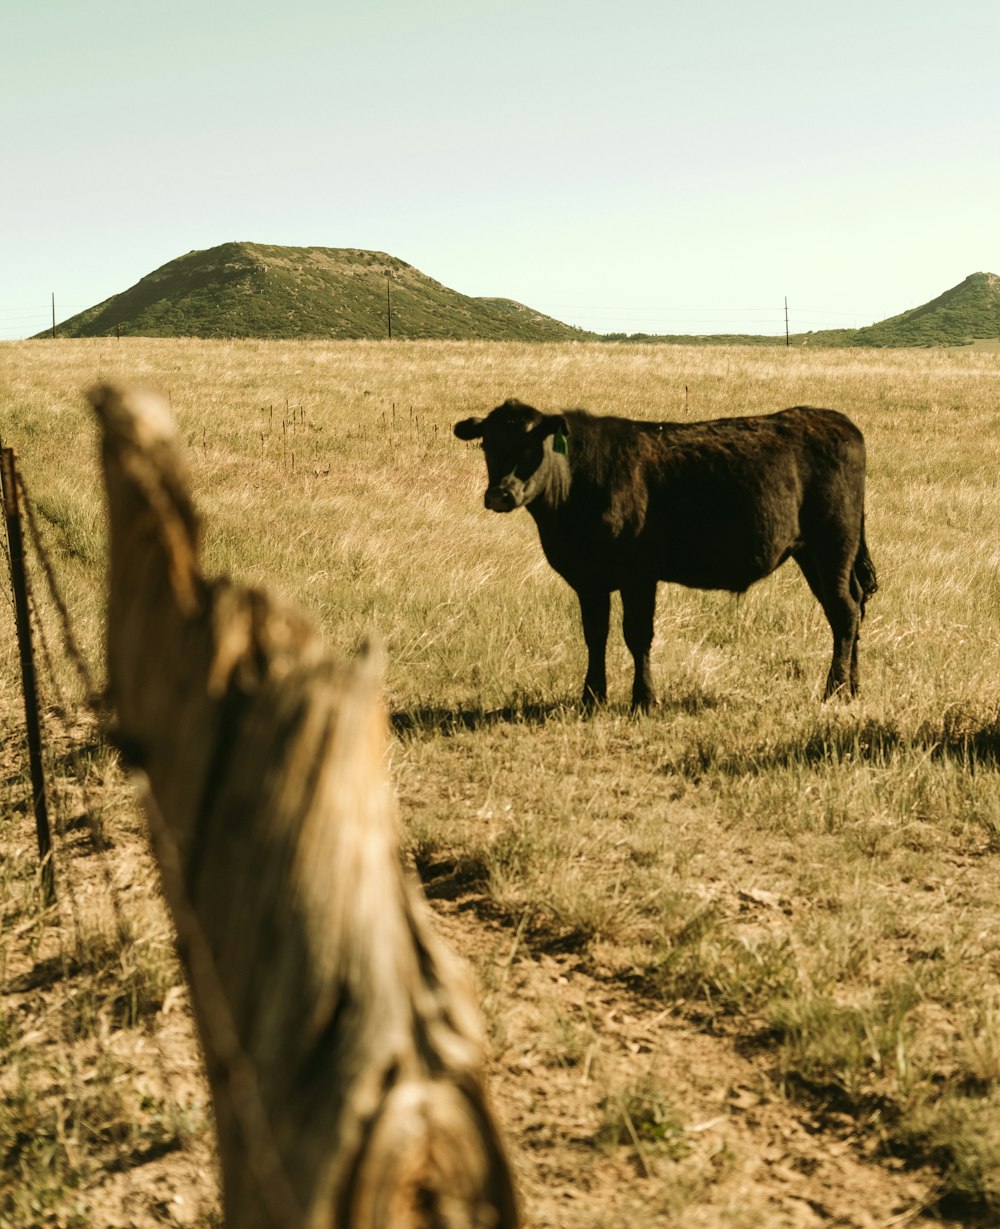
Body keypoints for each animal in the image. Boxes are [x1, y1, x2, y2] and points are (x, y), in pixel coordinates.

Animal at [454, 398, 874, 712]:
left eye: (531, 448)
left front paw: (644, 700)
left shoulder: (638, 573)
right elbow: (595, 634)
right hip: (813, 554)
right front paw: (592, 698)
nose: (500, 494)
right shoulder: (589, 580)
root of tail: (836, 420)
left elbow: (637, 635)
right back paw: (853, 687)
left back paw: (834, 690)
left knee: (844, 612)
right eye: (487, 445)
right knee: (850, 608)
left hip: (833, 544)